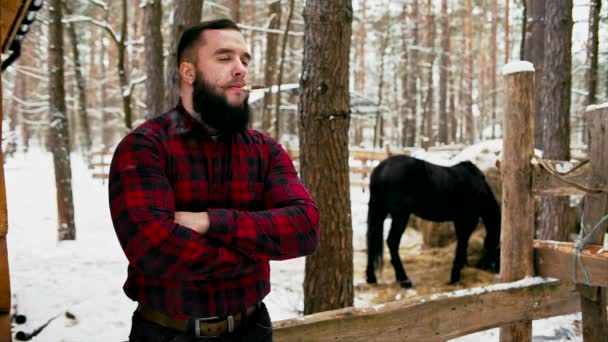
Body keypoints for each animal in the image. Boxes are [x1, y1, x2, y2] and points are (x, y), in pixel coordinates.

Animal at [364, 156, 502, 288]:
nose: (496, 269)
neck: (478, 187)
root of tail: (381, 169)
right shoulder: (467, 220)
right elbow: (462, 243)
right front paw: (455, 277)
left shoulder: (459, 221)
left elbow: (463, 243)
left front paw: (463, 266)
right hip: (400, 215)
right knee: (392, 242)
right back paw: (404, 280)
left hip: (379, 212)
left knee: (371, 239)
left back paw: (371, 278)